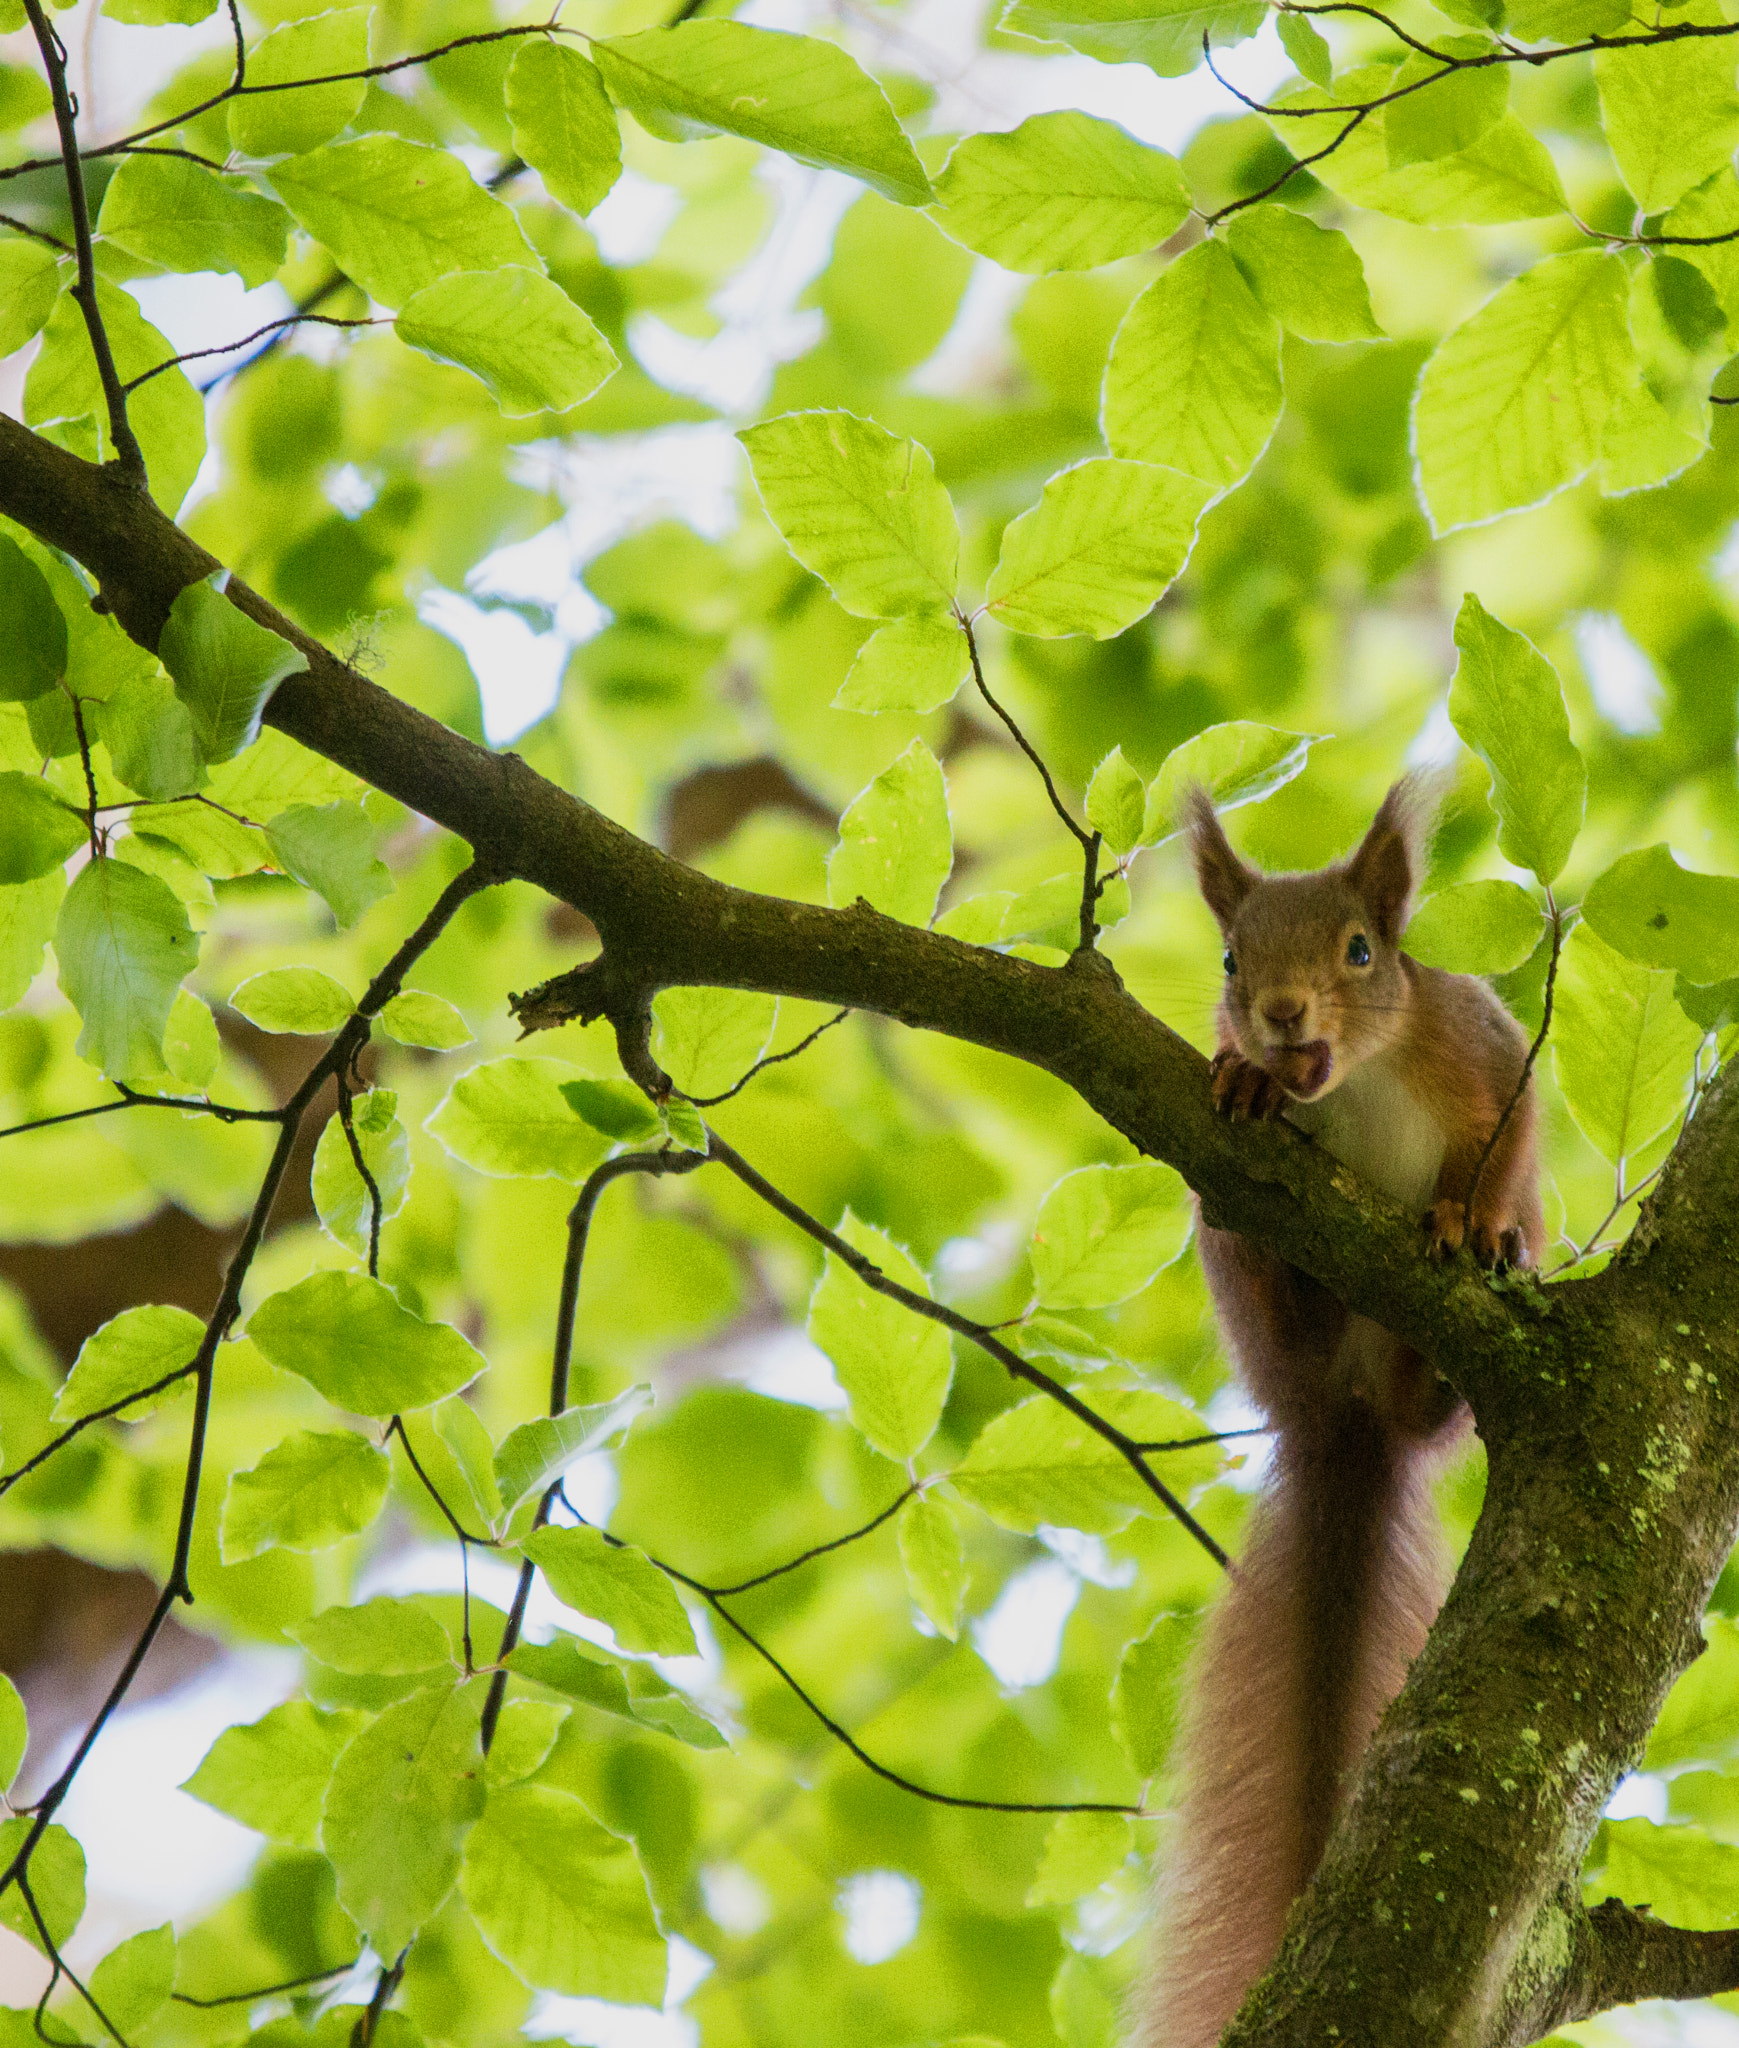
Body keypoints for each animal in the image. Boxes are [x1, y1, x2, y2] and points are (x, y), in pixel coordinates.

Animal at [1137, 775, 1544, 2048]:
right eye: (1228, 957)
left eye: (1361, 950)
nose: (1274, 1018)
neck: (1355, 1075)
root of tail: (1343, 1414)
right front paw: (1244, 1074)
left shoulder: (1482, 1045)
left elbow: (1503, 1144)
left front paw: (1470, 1219)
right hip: (1243, 1275)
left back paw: (1441, 1356)